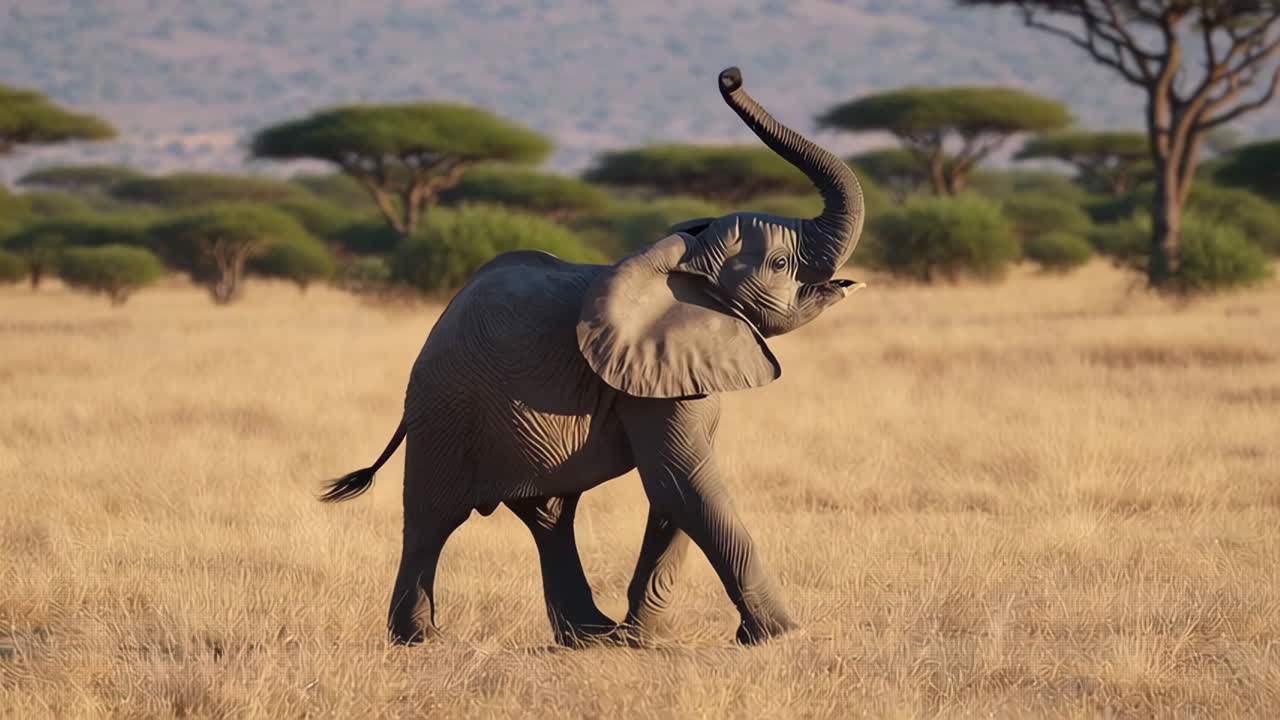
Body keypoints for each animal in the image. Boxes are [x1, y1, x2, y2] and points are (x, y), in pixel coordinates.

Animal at [318, 67, 867, 648]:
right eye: (781, 263)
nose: (730, 76)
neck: (681, 261)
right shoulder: (649, 373)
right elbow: (682, 480)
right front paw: (779, 636)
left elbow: (677, 486)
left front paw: (639, 640)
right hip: (445, 404)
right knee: (433, 517)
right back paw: (422, 639)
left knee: (548, 513)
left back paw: (587, 636)